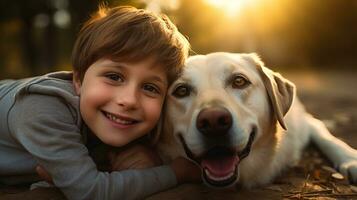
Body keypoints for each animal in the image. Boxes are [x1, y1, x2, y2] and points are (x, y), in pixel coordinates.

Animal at [157, 52, 356, 188]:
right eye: (181, 90)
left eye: (239, 81)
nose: (213, 122)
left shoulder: (306, 124)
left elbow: (327, 137)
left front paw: (351, 160)